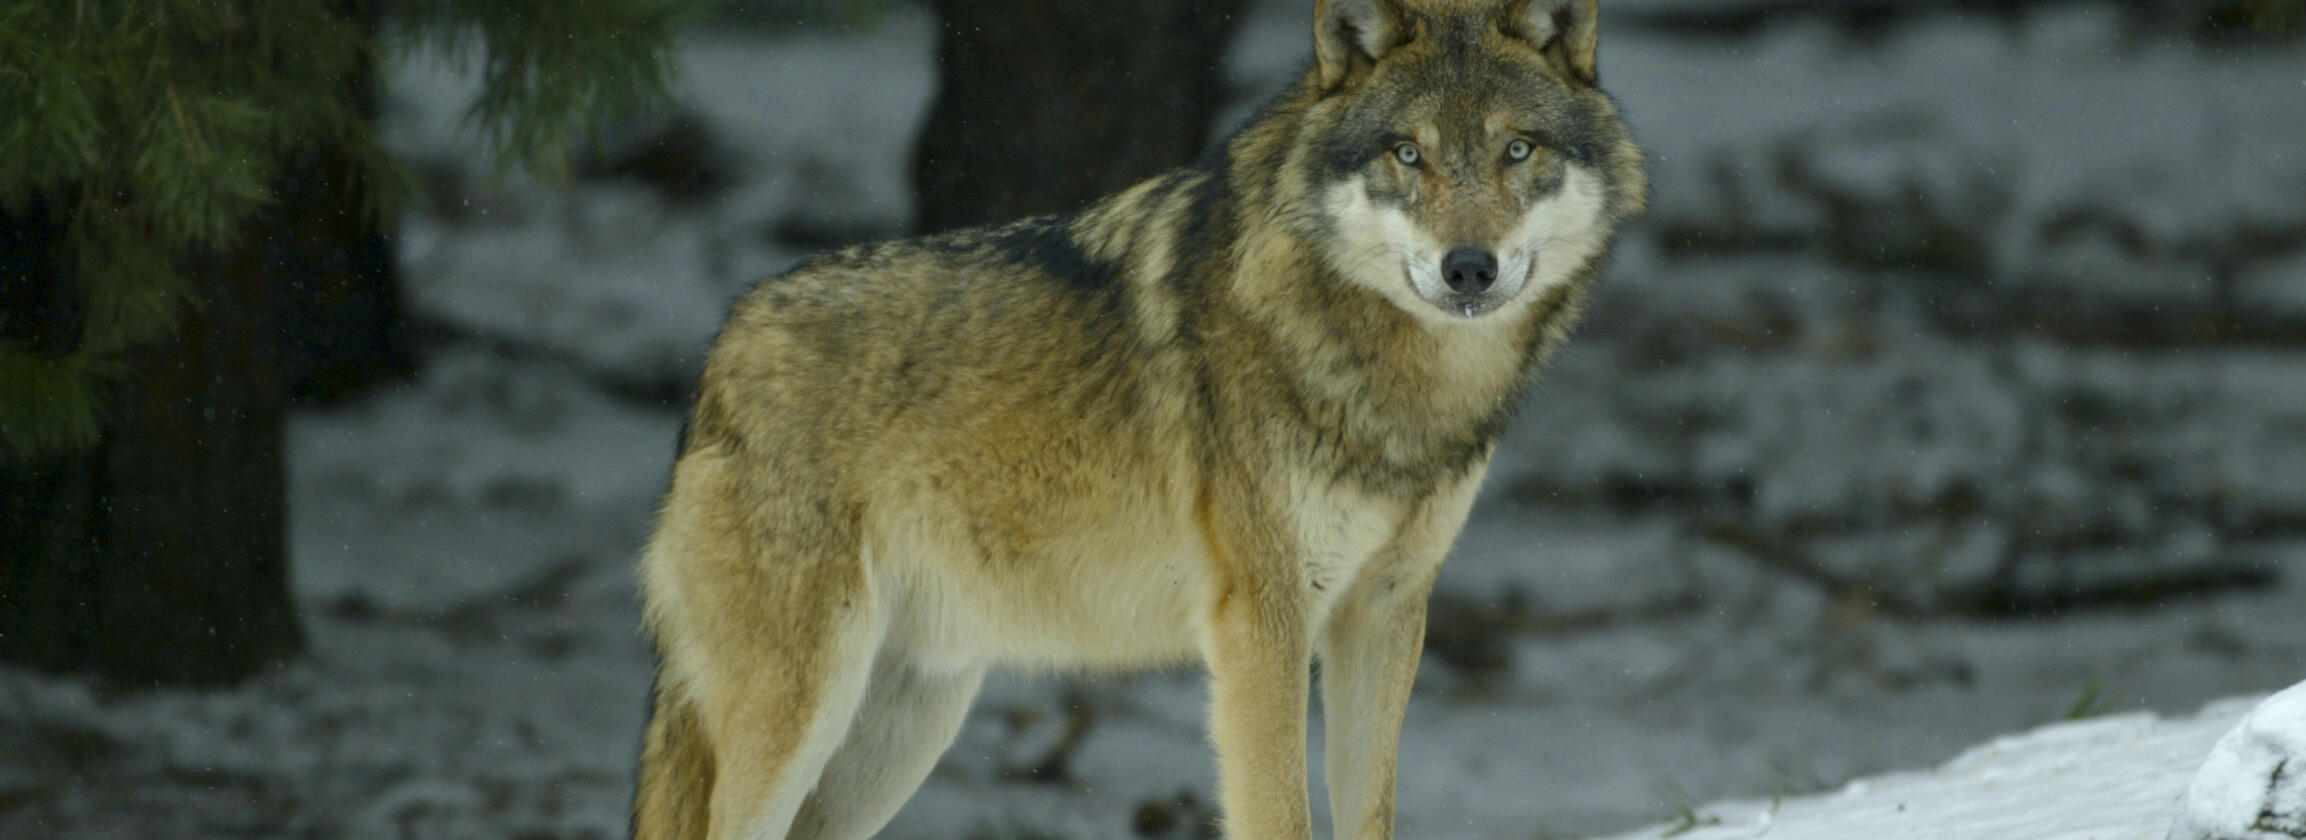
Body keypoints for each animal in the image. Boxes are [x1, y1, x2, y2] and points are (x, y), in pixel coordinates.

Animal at [630, 1, 1646, 838]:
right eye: (1408, 153)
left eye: (1517, 150)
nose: (1469, 267)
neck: (1396, 383)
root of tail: (723, 348)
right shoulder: (1263, 622)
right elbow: (1280, 814)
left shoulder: (1387, 610)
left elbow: (1370, 814)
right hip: (802, 716)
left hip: (896, 734)